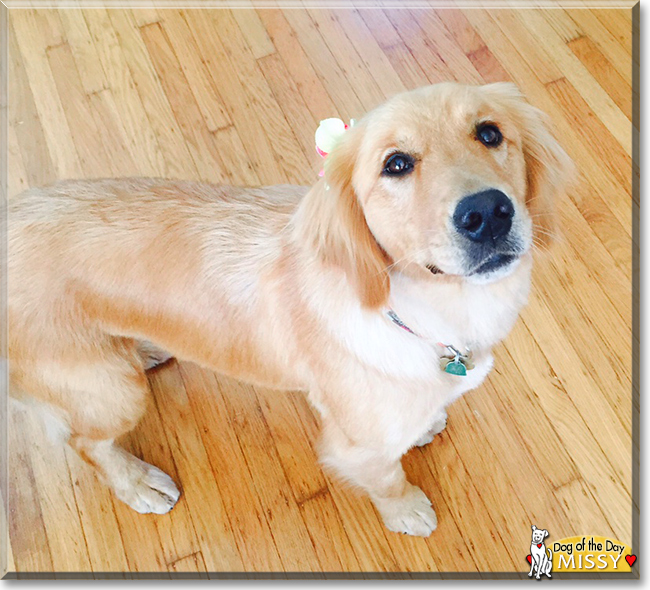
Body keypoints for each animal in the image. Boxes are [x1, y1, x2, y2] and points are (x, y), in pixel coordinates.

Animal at [7, 81, 568, 540]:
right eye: (396, 164)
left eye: (490, 133)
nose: (488, 214)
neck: (428, 311)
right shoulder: (354, 448)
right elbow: (387, 480)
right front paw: (406, 512)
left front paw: (426, 423)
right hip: (113, 393)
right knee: (86, 444)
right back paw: (138, 483)